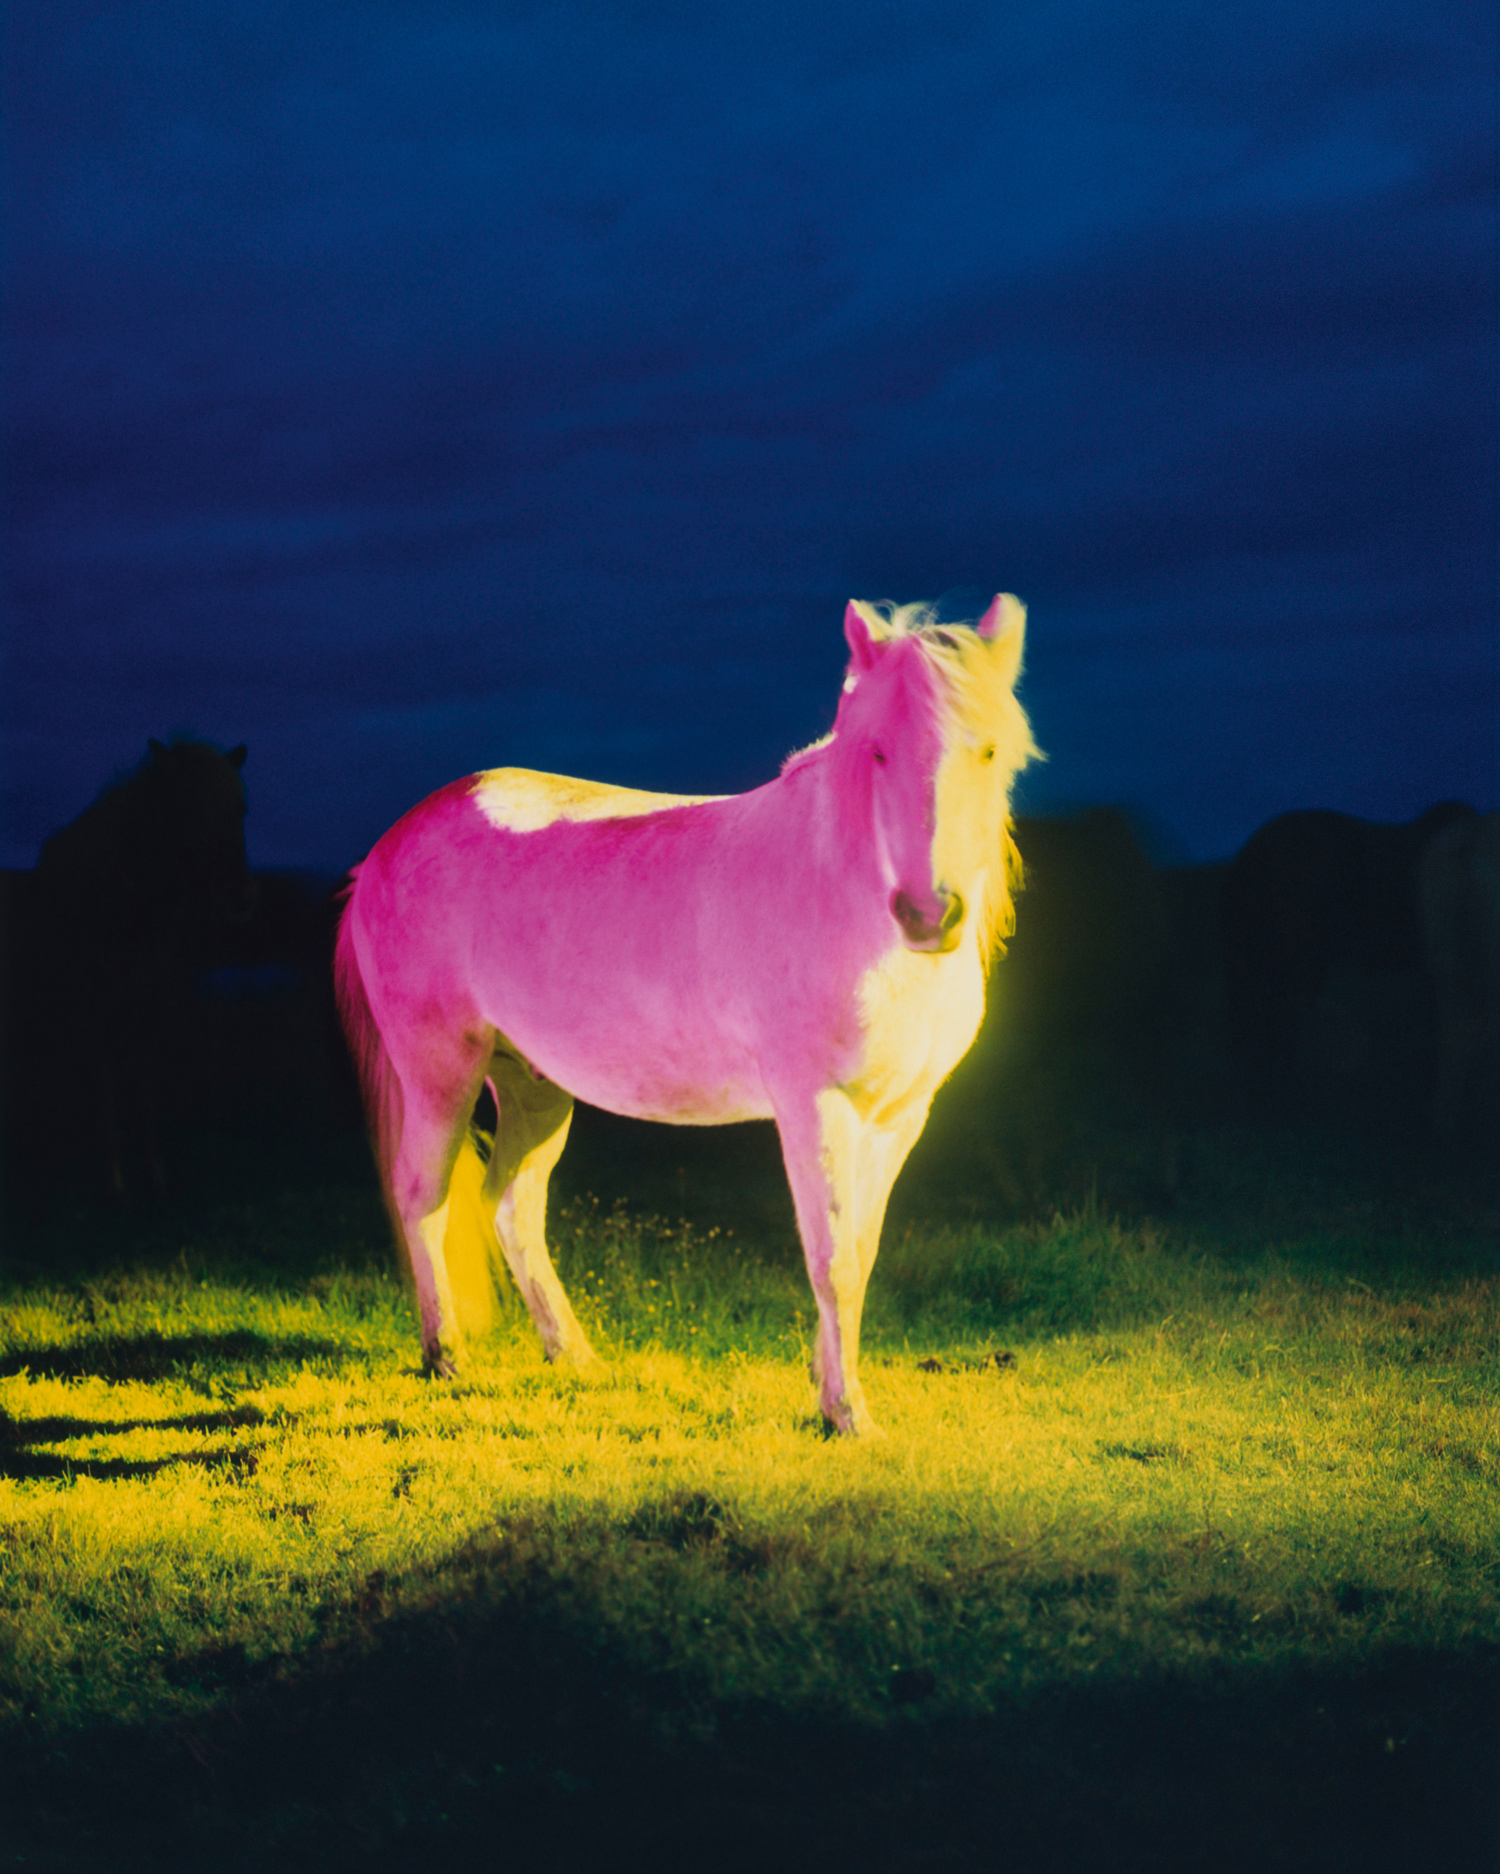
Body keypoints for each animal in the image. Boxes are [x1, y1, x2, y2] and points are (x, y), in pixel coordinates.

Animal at [17, 734, 256, 1199]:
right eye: (186, 804)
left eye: (240, 808)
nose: (239, 896)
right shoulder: (96, 1012)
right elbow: (106, 1092)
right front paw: (115, 1185)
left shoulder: (148, 1011)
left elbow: (142, 1092)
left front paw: (154, 1178)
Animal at [333, 595, 1035, 1431]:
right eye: (877, 753)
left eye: (988, 751)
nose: (931, 915)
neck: (844, 897)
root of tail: (381, 852)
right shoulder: (814, 1106)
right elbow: (830, 1255)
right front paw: (844, 1414)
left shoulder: (901, 1113)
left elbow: (860, 1251)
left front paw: (828, 1383)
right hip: (441, 1070)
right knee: (423, 1195)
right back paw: (445, 1355)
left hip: (534, 1085)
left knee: (513, 1206)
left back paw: (574, 1354)